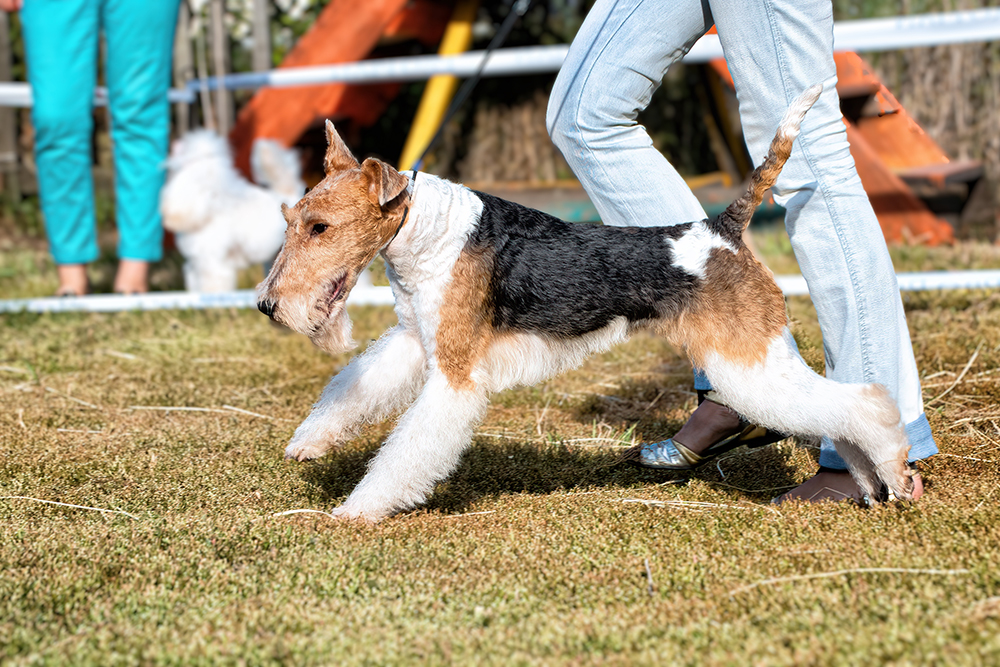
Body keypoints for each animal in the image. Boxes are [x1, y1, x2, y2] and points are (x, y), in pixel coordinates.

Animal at [256, 85, 916, 520]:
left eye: (319, 227)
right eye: (289, 219)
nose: (268, 306)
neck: (428, 231)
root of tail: (721, 229)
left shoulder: (456, 373)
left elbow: (405, 450)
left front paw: (356, 509)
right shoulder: (418, 340)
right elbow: (351, 388)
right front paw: (309, 443)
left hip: (748, 360)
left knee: (861, 403)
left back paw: (893, 470)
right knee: (838, 411)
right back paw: (868, 481)